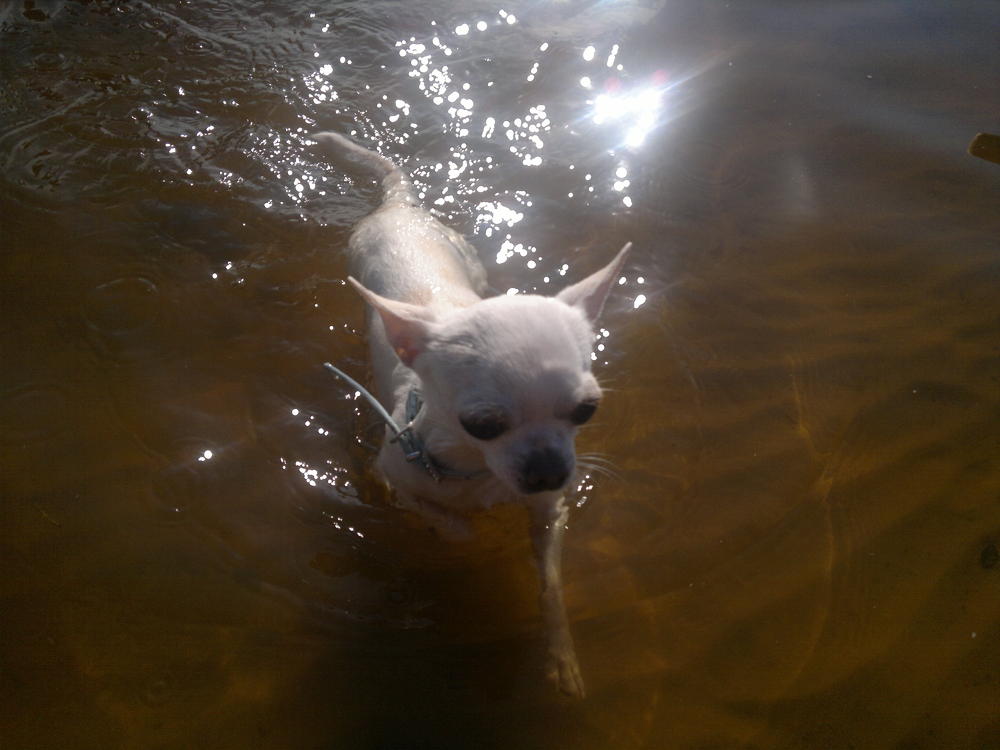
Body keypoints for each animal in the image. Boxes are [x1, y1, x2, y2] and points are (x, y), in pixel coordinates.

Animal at [313, 131, 629, 698]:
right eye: (481, 425)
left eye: (586, 410)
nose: (549, 470)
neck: (479, 471)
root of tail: (400, 208)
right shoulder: (394, 475)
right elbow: (450, 522)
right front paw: (455, 530)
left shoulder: (549, 512)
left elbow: (551, 587)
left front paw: (561, 657)